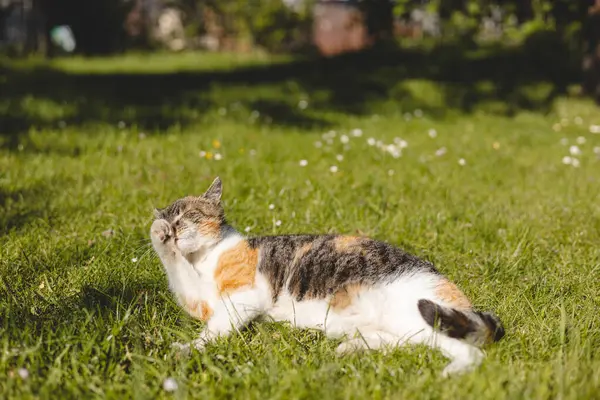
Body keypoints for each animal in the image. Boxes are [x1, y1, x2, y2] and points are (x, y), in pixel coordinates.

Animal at [149, 177, 502, 376]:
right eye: (174, 217)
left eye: (188, 216)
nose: (173, 229)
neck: (202, 259)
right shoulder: (200, 300)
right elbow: (181, 276)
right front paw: (159, 233)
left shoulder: (244, 296)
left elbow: (216, 328)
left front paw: (189, 348)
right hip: (404, 326)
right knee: (402, 344)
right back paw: (351, 347)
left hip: (415, 310)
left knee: (468, 350)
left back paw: (452, 372)